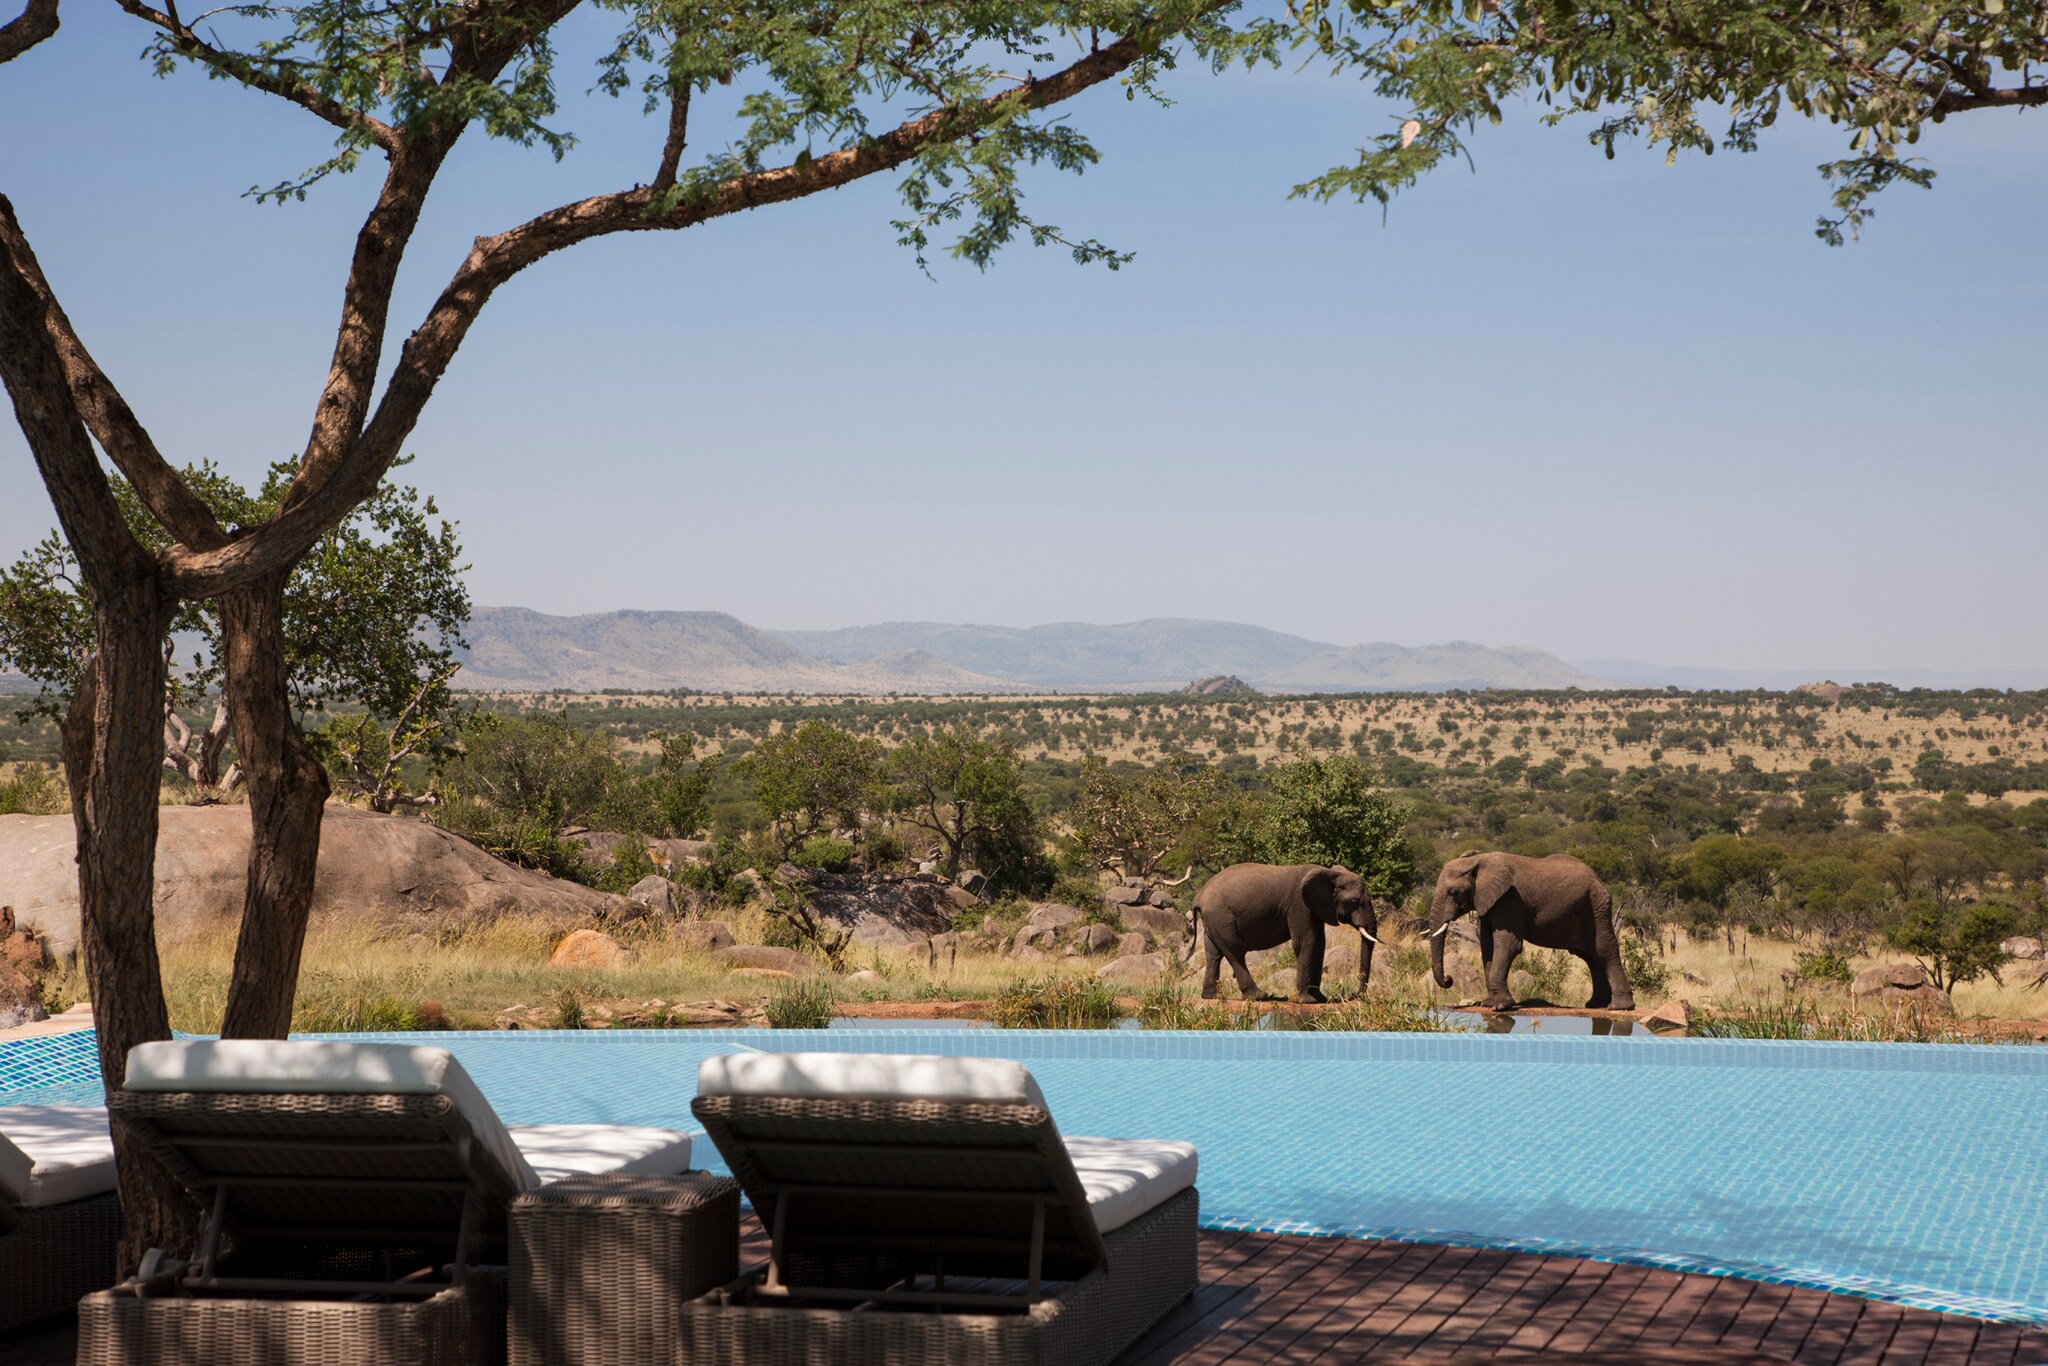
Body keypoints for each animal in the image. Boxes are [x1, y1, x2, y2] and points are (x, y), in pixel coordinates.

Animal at [1193, 863, 1380, 1003]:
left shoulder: (1314, 908)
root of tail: (1199, 897)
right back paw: (1260, 996)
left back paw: (1211, 997)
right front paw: (1306, 1000)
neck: (1330, 873)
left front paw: (1320, 998)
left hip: (1214, 920)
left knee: (1214, 954)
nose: (1354, 995)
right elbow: (1307, 942)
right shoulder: (1300, 904)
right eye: (1354, 901)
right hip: (1221, 916)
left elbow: (1320, 944)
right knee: (1235, 950)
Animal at [1426, 850, 1633, 1012]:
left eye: (1454, 893)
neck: (1477, 860)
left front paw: (1501, 1006)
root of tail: (1598, 879)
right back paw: (1595, 1004)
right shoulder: (1488, 902)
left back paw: (1619, 1007)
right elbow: (1487, 945)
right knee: (1590, 956)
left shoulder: (1510, 900)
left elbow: (1508, 944)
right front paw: (1488, 1003)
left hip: (1597, 907)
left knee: (1604, 950)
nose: (1449, 979)